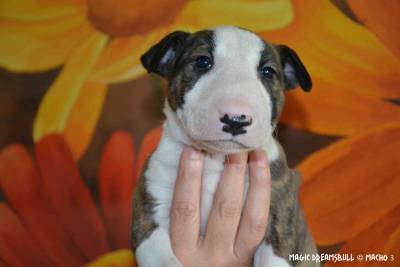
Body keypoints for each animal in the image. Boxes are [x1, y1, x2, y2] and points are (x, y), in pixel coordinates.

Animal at [131, 25, 318, 267]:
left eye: (268, 71)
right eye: (202, 61)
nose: (236, 119)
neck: (217, 160)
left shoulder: (278, 216)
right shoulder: (149, 214)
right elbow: (164, 259)